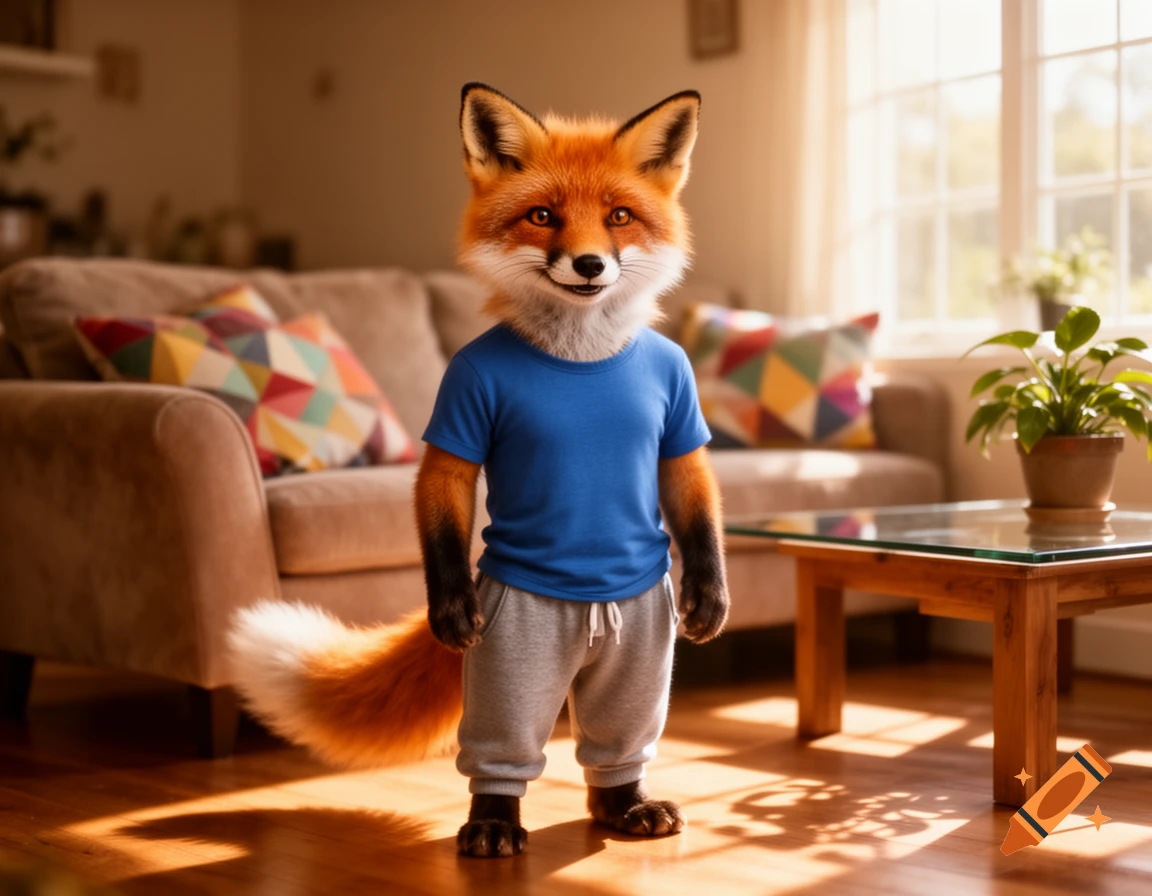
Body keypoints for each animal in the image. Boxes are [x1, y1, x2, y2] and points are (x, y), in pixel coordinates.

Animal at [228, 83, 729, 859]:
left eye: (618, 216)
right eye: (543, 216)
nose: (590, 264)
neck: (580, 357)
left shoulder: (678, 417)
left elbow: (692, 491)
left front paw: (710, 592)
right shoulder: (460, 404)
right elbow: (446, 491)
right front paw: (449, 604)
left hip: (641, 648)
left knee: (617, 733)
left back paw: (623, 803)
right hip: (513, 655)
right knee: (505, 739)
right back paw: (494, 822)